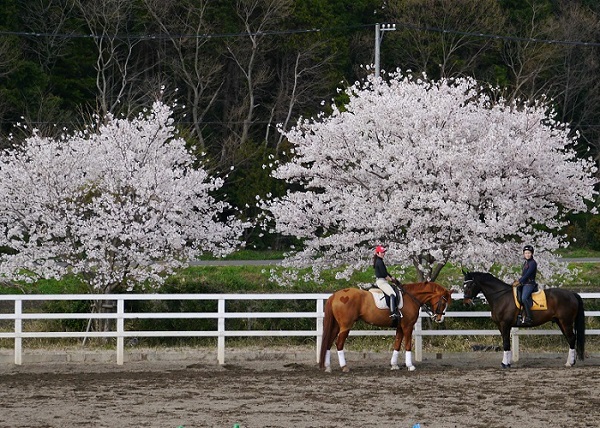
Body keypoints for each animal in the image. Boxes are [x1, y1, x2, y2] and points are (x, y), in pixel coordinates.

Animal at [318, 280, 450, 372]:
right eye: (443, 302)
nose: (440, 318)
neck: (411, 297)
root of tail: (335, 295)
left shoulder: (400, 327)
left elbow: (397, 344)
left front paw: (394, 365)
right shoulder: (407, 326)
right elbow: (407, 345)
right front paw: (410, 366)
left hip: (336, 326)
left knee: (329, 342)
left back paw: (328, 367)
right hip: (346, 326)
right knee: (339, 343)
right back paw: (344, 366)